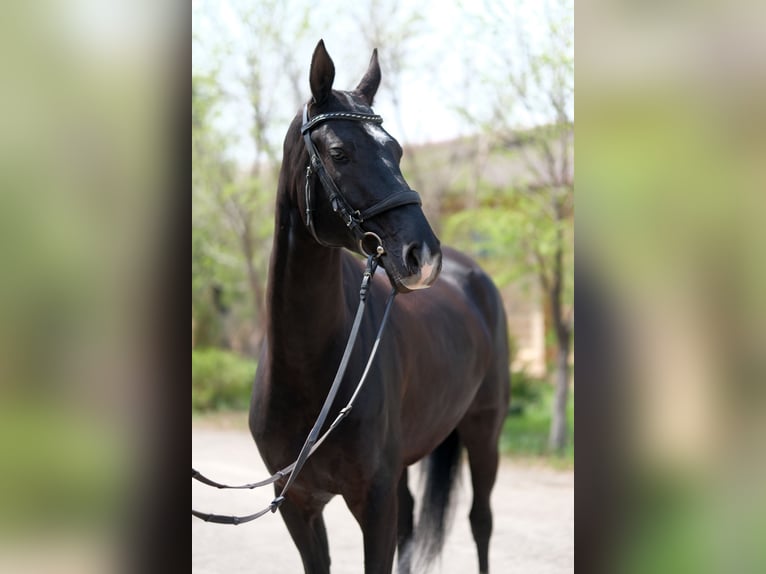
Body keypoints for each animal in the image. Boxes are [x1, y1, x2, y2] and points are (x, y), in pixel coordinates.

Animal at [252, 38, 512, 572]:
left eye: (395, 150)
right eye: (339, 152)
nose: (423, 255)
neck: (310, 373)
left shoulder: (373, 502)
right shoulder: (299, 507)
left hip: (485, 432)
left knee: (480, 522)